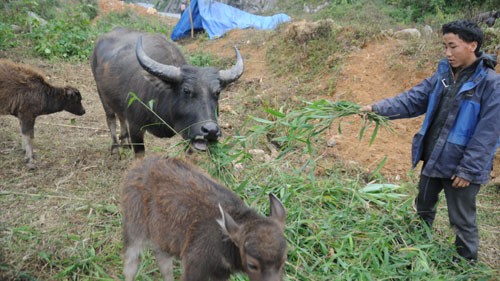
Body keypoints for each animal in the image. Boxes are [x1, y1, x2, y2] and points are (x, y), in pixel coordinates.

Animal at [92, 27, 246, 155]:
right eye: (186, 90)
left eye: (217, 92)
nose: (211, 131)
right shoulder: (136, 127)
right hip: (102, 95)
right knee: (111, 118)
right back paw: (115, 148)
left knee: (121, 116)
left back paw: (125, 143)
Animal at [121, 155, 288, 280]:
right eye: (252, 265)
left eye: (283, 260)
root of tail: (136, 166)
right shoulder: (193, 267)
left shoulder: (220, 274)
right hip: (135, 228)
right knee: (130, 263)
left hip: (161, 237)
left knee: (162, 260)